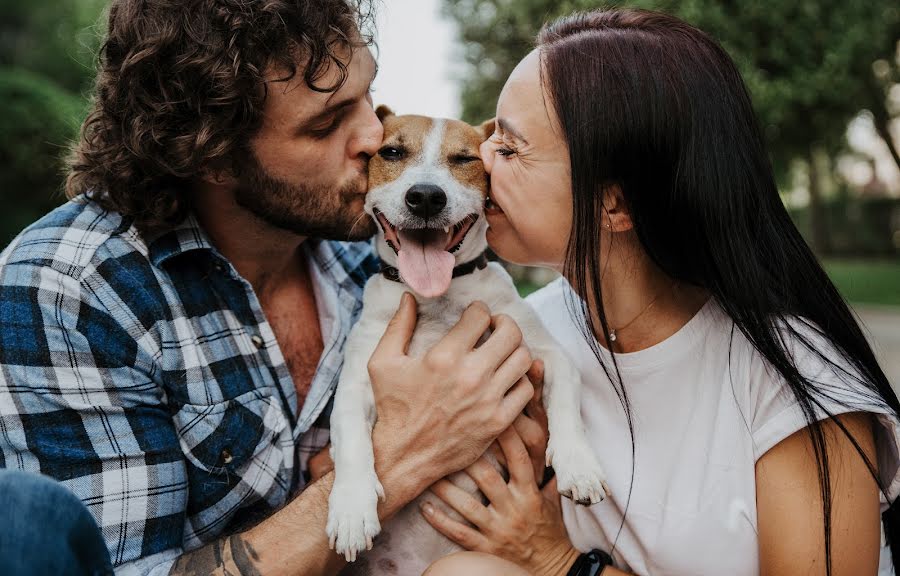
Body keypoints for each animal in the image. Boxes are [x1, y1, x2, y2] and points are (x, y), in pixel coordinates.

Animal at [326, 106, 608, 572]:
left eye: (464, 159)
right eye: (391, 152)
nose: (425, 196)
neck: (437, 299)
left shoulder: (545, 353)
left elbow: (567, 401)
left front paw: (578, 464)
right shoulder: (355, 385)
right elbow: (350, 440)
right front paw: (350, 509)